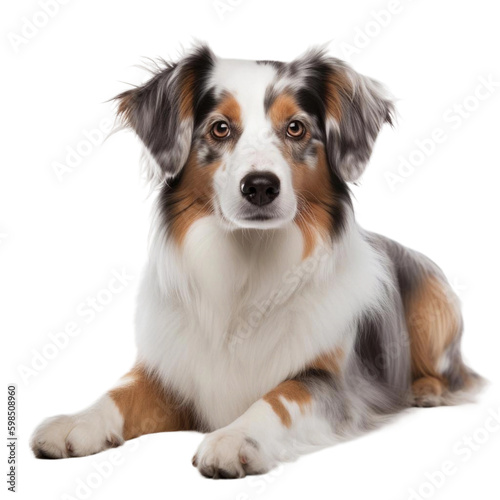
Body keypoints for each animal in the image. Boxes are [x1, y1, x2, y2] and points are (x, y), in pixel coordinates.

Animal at [29, 45, 482, 478]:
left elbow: (280, 396)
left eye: (296, 127)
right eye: (220, 128)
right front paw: (75, 422)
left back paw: (426, 390)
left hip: (433, 303)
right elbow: (119, 392)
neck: (248, 260)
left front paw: (235, 438)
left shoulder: (335, 382)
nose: (261, 186)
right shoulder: (172, 371)